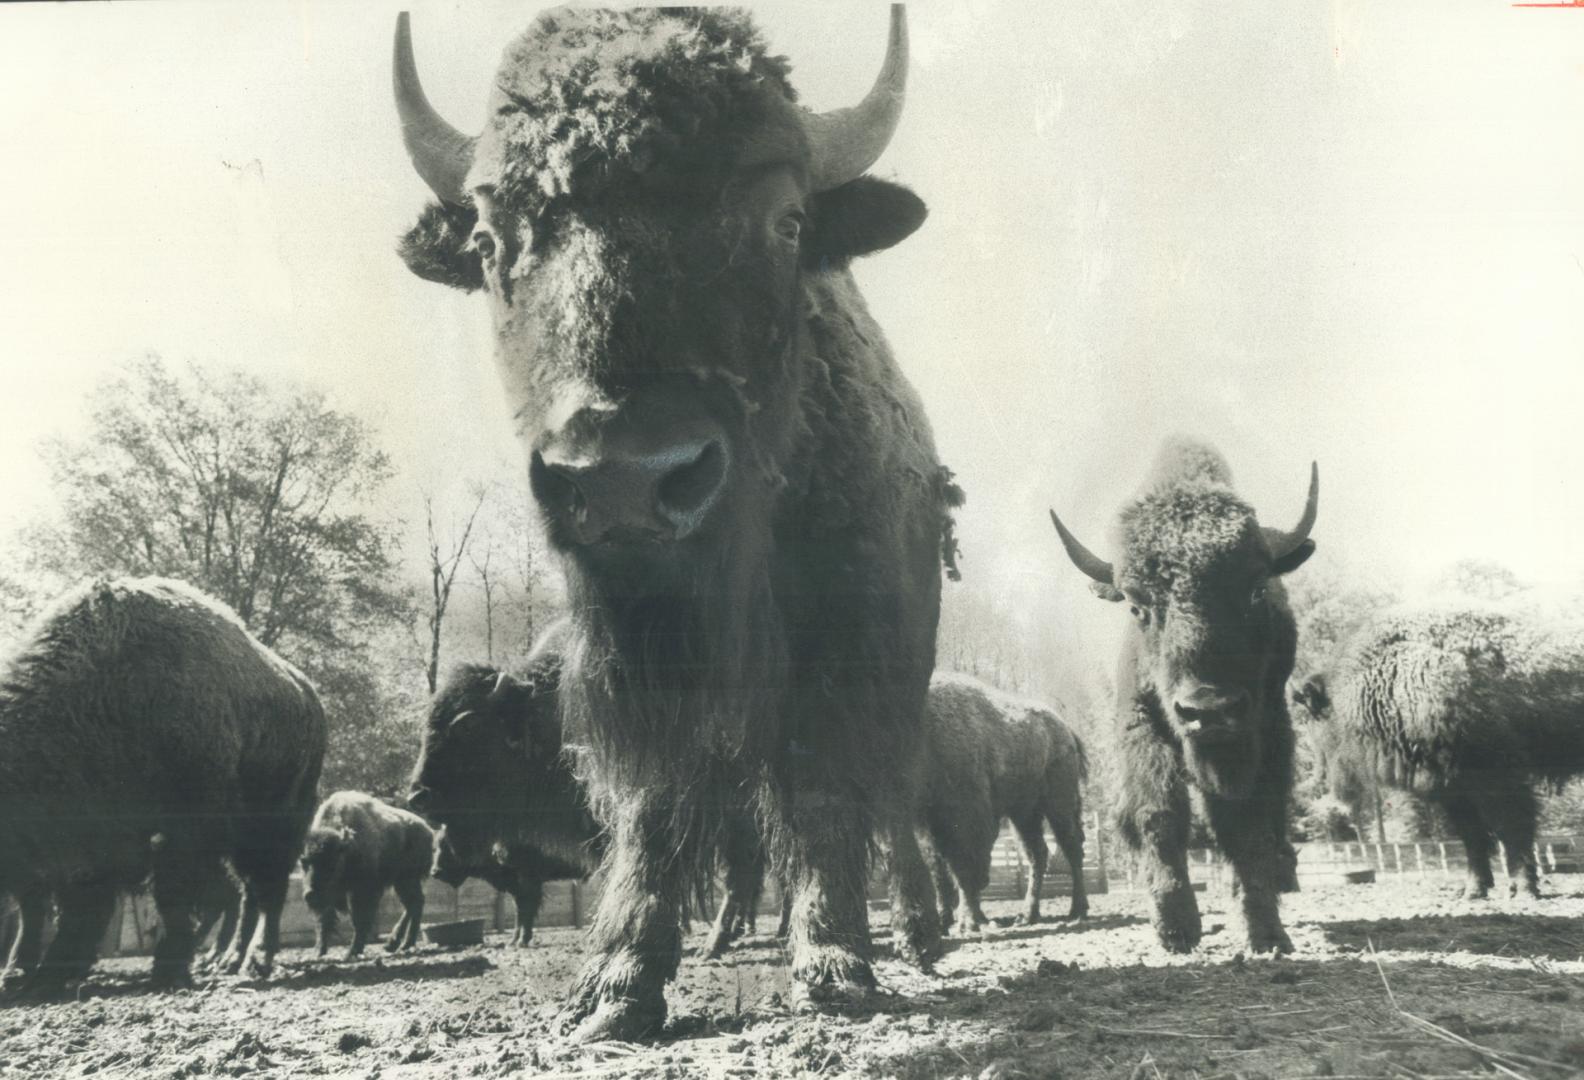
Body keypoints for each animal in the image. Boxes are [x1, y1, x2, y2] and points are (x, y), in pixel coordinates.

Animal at [0, 576, 324, 988]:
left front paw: (168, 969)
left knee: (266, 890)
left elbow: (169, 894)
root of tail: (309, 695)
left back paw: (255, 960)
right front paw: (29, 972)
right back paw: (227, 960)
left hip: (274, 825)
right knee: (247, 893)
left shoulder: (181, 829)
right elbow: (49, 904)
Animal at [299, 785, 437, 956]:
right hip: (402, 882)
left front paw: (352, 951)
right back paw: (395, 944)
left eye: (332, 863)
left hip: (406, 879)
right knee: (413, 904)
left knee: (414, 903)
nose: (311, 895)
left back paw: (402, 944)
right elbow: (323, 920)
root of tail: (428, 831)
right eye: (304, 862)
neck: (347, 848)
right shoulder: (330, 897)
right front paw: (319, 950)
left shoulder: (362, 891)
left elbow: (359, 919)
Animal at [396, 6, 963, 1032]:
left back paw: (913, 937)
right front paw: (618, 982)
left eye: (785, 220)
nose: (625, 479)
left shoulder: (845, 658)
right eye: (494, 241)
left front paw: (834, 965)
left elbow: (824, 796)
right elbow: (655, 809)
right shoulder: (641, 667)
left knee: (887, 819)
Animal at [1045, 437, 1317, 950]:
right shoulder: (1142, 723)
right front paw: (1176, 928)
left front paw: (1266, 931)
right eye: (1137, 606)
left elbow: (1246, 824)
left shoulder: (1261, 732)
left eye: (1256, 590)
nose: (1209, 708)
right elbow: (1159, 813)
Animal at [1286, 601, 1584, 893]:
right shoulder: (1450, 787)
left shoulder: (1497, 776)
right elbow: (1472, 835)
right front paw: (1473, 891)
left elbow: (1511, 828)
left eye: (1311, 714)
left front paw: (1522, 888)